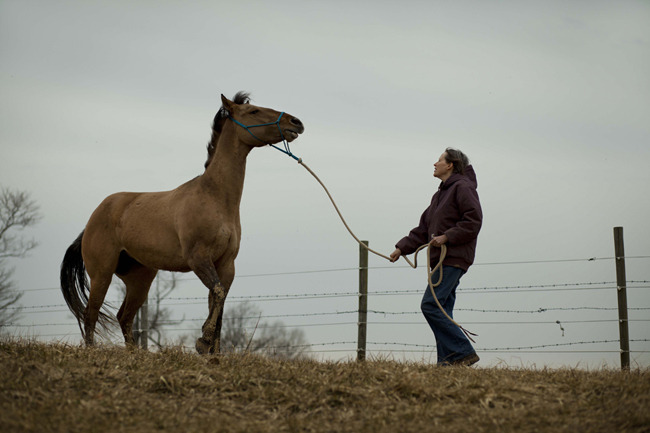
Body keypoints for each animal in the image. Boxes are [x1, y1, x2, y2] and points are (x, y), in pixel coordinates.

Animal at [60, 93, 304, 352]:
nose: (296, 122)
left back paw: (135, 353)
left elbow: (219, 302)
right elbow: (218, 294)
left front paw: (214, 352)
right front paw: (203, 340)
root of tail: (92, 220)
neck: (215, 198)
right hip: (102, 274)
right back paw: (92, 350)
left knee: (123, 316)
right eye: (254, 111)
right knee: (91, 314)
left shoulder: (226, 264)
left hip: (140, 279)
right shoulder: (199, 259)